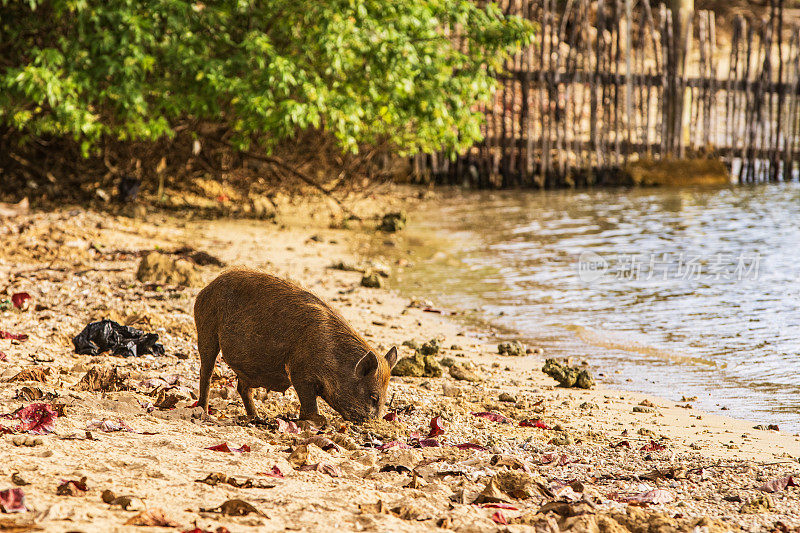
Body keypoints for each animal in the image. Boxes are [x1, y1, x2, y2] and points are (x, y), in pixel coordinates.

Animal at [195, 268, 400, 422]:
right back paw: (203, 412)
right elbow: (309, 405)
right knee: (206, 373)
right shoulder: (300, 373)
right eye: (373, 396)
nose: (374, 424)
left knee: (242, 388)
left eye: (384, 399)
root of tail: (207, 287)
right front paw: (318, 422)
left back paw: (258, 418)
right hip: (205, 330)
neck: (333, 357)